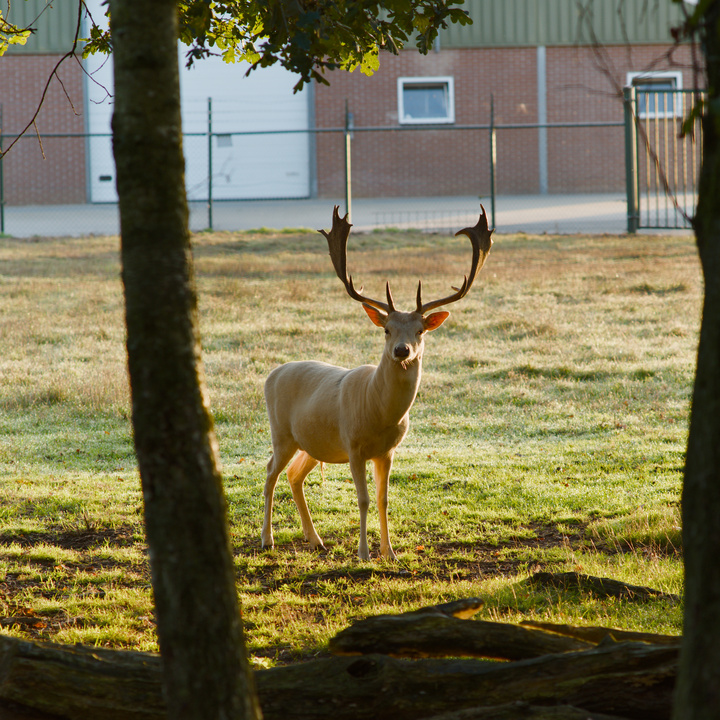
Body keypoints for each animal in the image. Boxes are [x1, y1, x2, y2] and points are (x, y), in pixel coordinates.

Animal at [261, 206, 494, 561]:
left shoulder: (387, 451)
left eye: (420, 330)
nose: (402, 350)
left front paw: (390, 552)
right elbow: (364, 499)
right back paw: (267, 539)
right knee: (270, 473)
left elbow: (384, 499)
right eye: (386, 329)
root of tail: (271, 375)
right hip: (282, 433)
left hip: (312, 442)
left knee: (293, 475)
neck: (380, 413)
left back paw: (315, 540)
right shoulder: (353, 444)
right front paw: (364, 553)